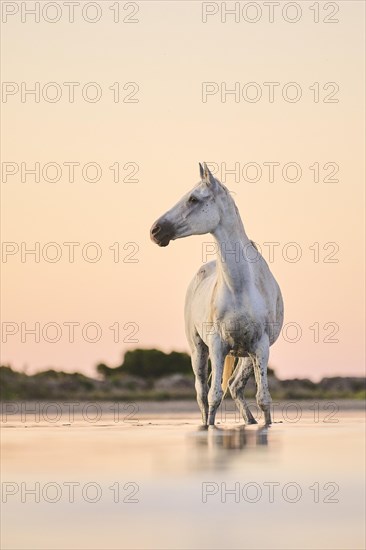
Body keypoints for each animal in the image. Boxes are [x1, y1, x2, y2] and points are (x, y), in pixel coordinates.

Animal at [150, 164, 284, 426]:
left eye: (193, 199)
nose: (155, 230)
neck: (240, 287)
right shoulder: (217, 345)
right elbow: (213, 397)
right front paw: (211, 427)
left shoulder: (261, 345)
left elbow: (263, 398)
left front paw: (265, 425)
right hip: (198, 351)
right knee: (203, 393)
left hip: (246, 355)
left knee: (235, 386)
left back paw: (250, 422)